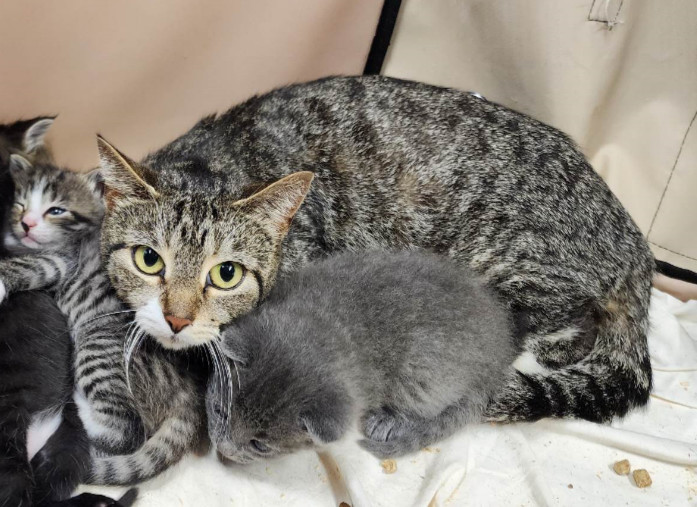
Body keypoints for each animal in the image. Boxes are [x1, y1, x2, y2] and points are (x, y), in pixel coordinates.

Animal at [96, 75, 652, 424]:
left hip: (514, 264)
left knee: (562, 320)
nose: (177, 319)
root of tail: (632, 237)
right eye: (149, 260)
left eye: (226, 274)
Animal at [204, 250, 520, 460]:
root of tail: (499, 355)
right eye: (219, 411)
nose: (224, 450)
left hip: (422, 371)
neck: (323, 324)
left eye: (259, 445)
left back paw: (386, 421)